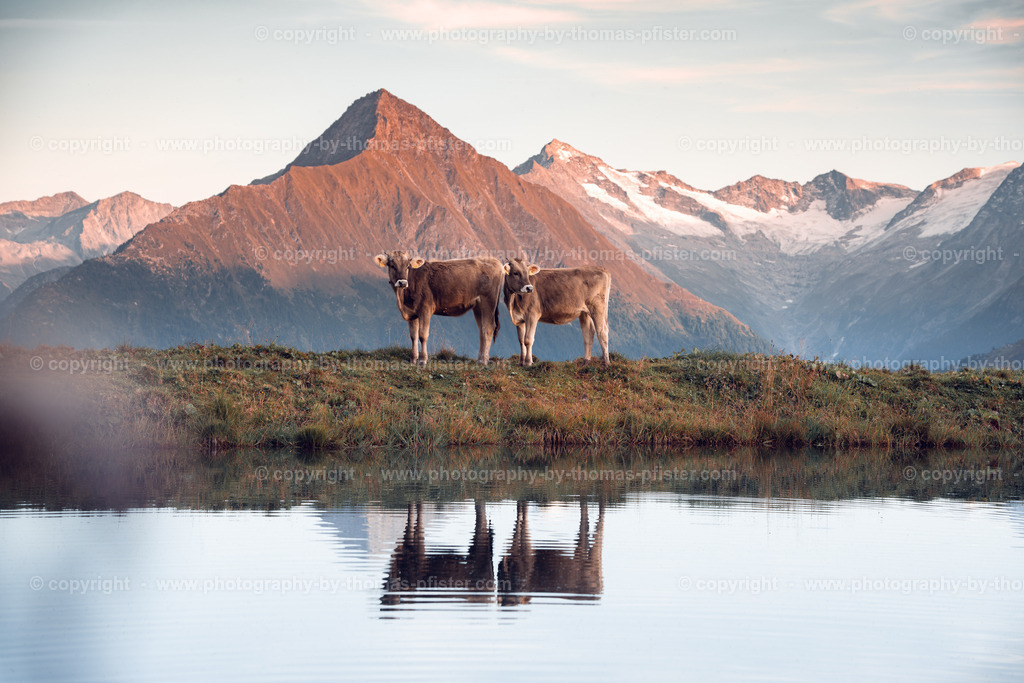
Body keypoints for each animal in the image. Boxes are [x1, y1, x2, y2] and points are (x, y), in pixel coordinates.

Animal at [374, 251, 503, 365]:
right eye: (392, 265)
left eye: (408, 266)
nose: (402, 282)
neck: (402, 299)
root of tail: (495, 261)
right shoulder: (412, 313)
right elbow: (413, 336)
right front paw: (413, 359)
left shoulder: (425, 309)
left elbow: (422, 335)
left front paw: (422, 360)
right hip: (478, 306)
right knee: (482, 331)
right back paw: (480, 359)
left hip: (488, 302)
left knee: (488, 329)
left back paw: (483, 361)